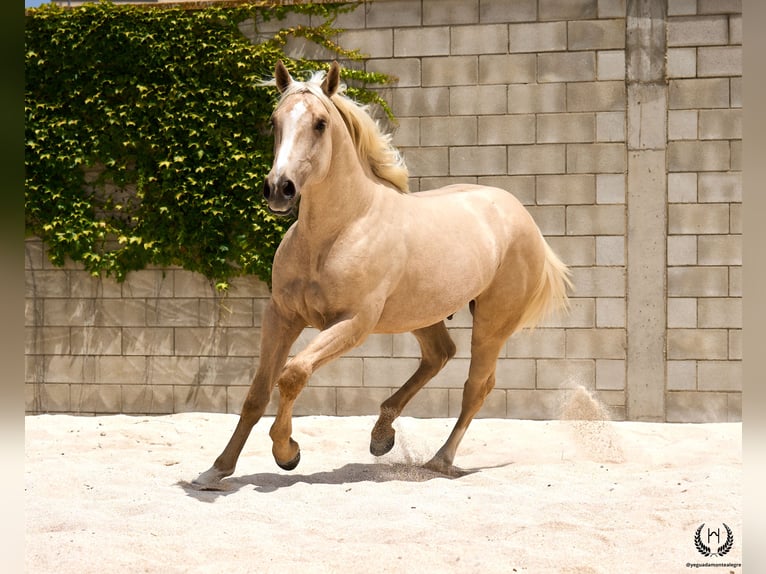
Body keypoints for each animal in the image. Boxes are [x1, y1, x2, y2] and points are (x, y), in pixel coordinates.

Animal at [192, 61, 571, 489]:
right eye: (274, 122)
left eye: (320, 123)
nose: (279, 189)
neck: (337, 231)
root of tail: (521, 215)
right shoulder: (282, 316)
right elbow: (257, 393)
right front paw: (217, 469)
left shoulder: (353, 323)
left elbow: (293, 374)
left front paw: (287, 453)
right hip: (422, 314)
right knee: (439, 355)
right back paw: (381, 435)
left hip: (492, 322)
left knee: (476, 386)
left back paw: (440, 460)